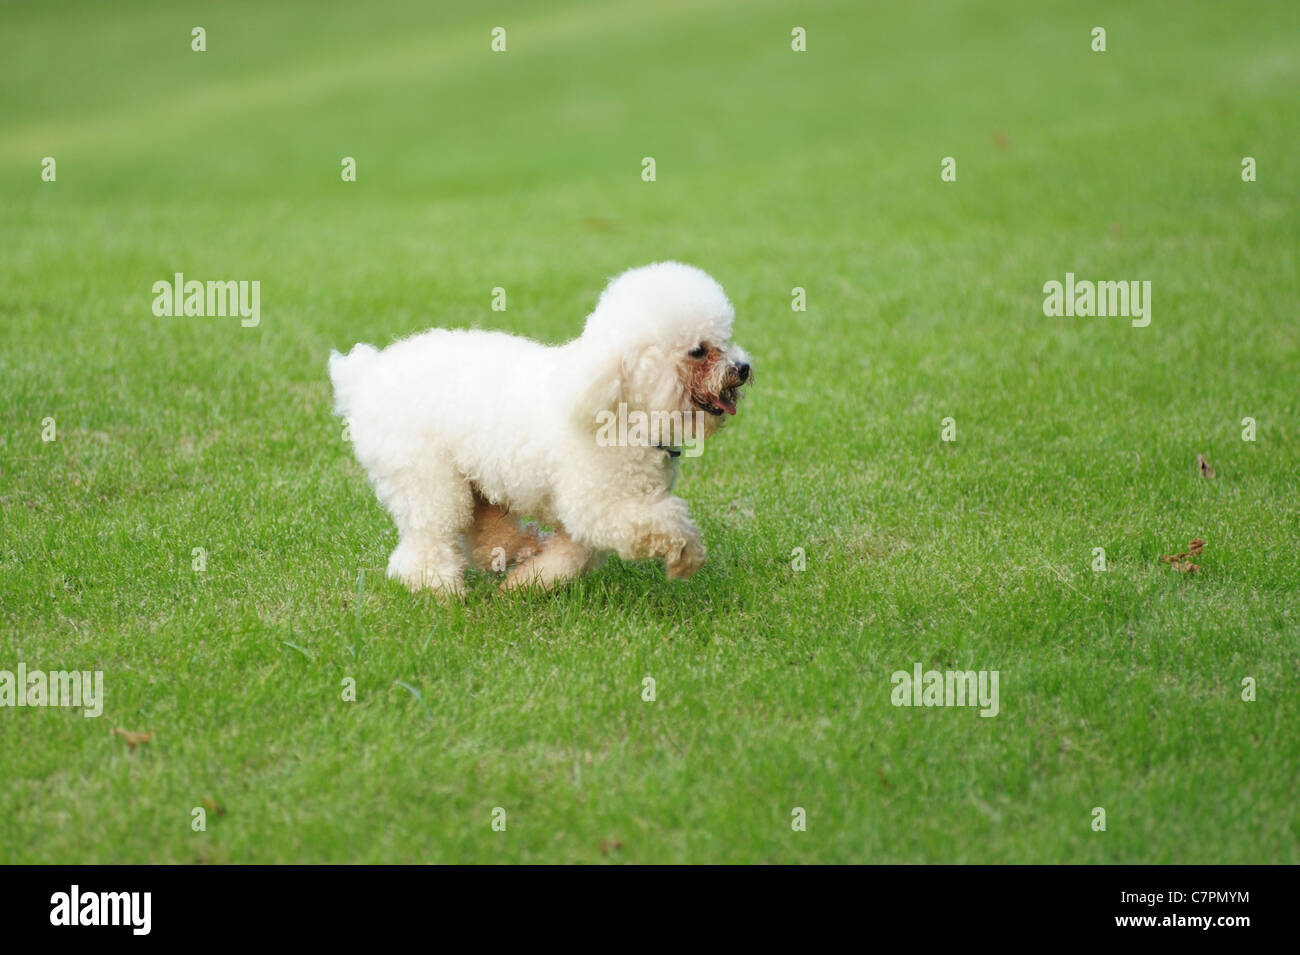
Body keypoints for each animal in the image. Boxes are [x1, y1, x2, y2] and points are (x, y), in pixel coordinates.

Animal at [327, 261, 754, 597]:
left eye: (725, 339)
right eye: (698, 350)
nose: (743, 368)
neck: (618, 404)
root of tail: (365, 375)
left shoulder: (587, 517)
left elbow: (572, 557)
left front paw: (526, 585)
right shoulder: (601, 504)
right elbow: (667, 524)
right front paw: (686, 558)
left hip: (476, 481)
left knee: (485, 534)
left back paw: (521, 549)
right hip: (427, 478)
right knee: (427, 537)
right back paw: (437, 587)